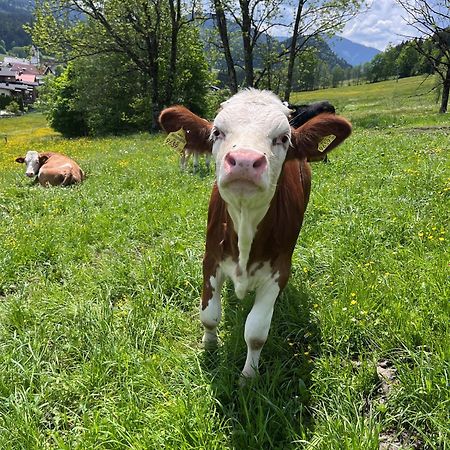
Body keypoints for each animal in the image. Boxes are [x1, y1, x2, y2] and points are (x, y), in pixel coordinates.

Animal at [158, 89, 352, 382]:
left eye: (283, 138)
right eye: (217, 132)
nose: (245, 161)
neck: (245, 223)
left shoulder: (279, 269)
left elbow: (256, 332)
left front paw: (248, 376)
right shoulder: (210, 258)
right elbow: (209, 315)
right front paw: (209, 347)